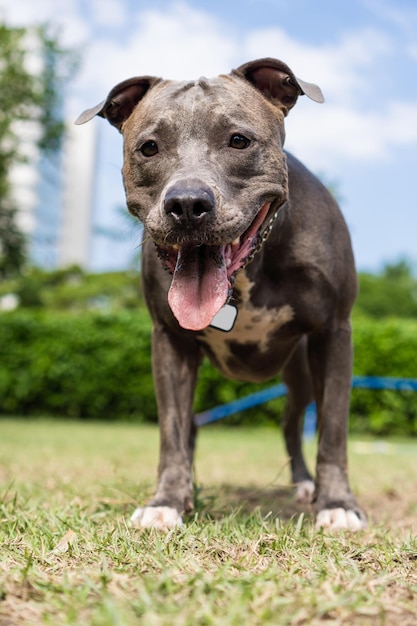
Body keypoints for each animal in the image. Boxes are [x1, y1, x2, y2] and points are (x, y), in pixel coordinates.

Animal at [76, 56, 366, 528]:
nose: (187, 204)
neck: (245, 276)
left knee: (293, 424)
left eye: (238, 141)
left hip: (301, 371)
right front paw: (167, 501)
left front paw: (337, 503)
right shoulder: (170, 342)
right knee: (193, 424)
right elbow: (172, 430)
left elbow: (334, 429)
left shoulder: (334, 333)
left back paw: (306, 485)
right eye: (149, 147)